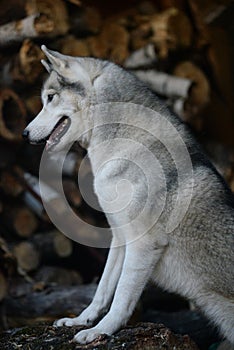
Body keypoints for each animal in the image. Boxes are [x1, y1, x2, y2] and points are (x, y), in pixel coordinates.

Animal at [22, 45, 233, 344]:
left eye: (49, 98)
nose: (24, 133)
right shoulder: (120, 236)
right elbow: (103, 289)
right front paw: (82, 321)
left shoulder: (144, 243)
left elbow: (122, 296)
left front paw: (100, 331)